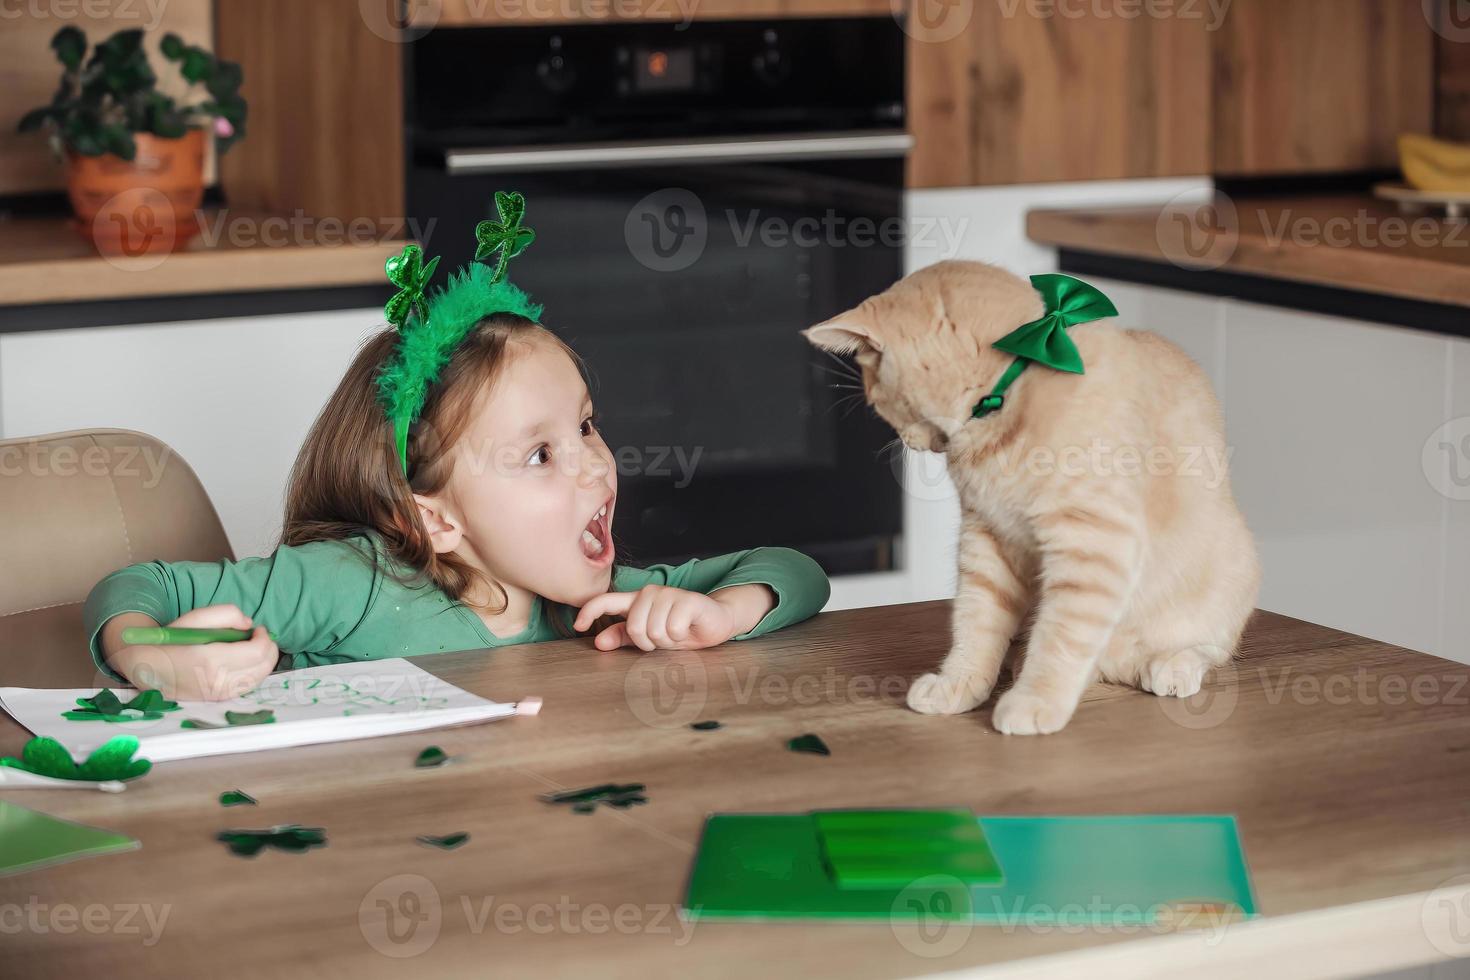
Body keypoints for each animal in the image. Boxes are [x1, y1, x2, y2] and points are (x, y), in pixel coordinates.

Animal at [805, 260, 1264, 734]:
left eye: (879, 402)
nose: (909, 443)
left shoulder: (1094, 542)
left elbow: (1061, 636)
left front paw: (1034, 700)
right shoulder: (988, 538)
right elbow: (975, 622)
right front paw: (959, 683)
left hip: (1227, 581)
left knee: (1199, 649)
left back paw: (1172, 665)